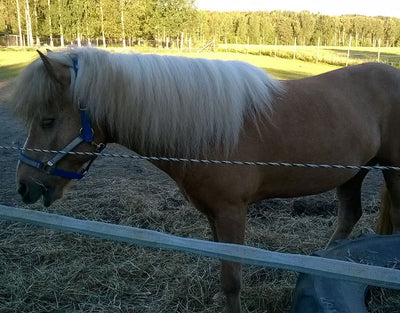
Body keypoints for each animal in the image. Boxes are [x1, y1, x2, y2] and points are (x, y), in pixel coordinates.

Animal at [11, 47, 400, 312]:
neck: (210, 134)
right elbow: (222, 269)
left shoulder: (231, 212)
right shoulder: (213, 214)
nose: (24, 186)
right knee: (348, 216)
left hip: (392, 172)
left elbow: (232, 278)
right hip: (354, 172)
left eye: (47, 120)